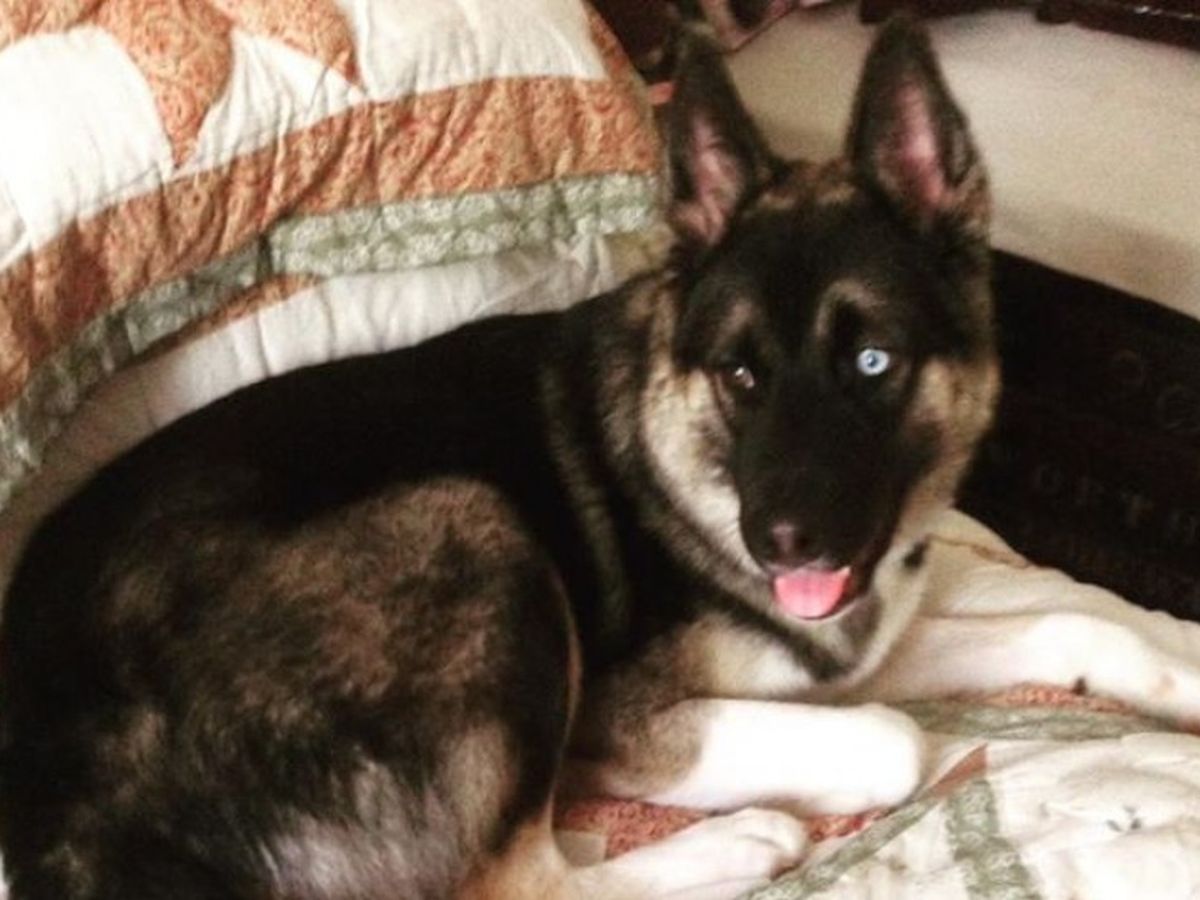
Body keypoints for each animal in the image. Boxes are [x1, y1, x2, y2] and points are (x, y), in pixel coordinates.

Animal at [0, 18, 1003, 900]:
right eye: (741, 374)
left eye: (873, 362)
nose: (783, 545)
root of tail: (57, 808)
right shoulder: (621, 716)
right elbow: (891, 740)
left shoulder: (846, 648)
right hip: (467, 522)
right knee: (515, 882)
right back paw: (735, 845)